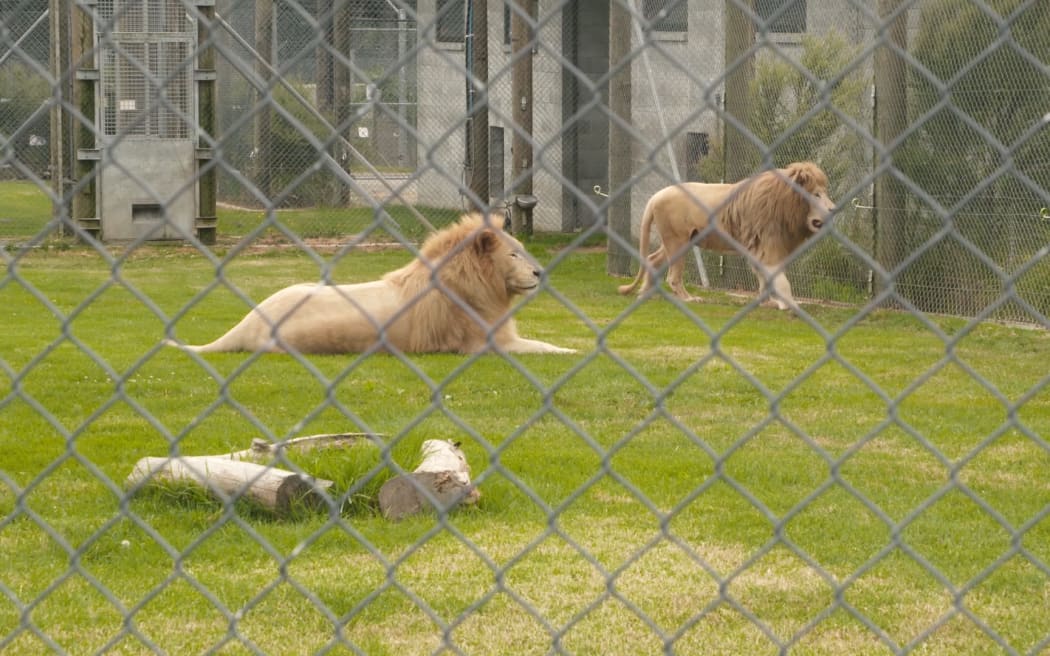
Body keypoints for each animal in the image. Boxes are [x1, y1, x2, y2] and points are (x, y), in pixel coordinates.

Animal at [163, 212, 575, 354]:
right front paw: (577, 353)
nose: (539, 273)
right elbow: (546, 348)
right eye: (514, 255)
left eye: (523, 250)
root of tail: (249, 321)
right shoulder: (483, 345)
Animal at [613, 159, 835, 310]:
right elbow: (778, 278)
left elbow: (766, 278)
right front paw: (786, 303)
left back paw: (644, 293)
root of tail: (655, 196)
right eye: (817, 194)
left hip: (675, 241)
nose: (833, 209)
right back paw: (689, 298)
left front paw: (768, 301)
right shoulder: (766, 244)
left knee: (652, 259)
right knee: (673, 277)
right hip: (678, 241)